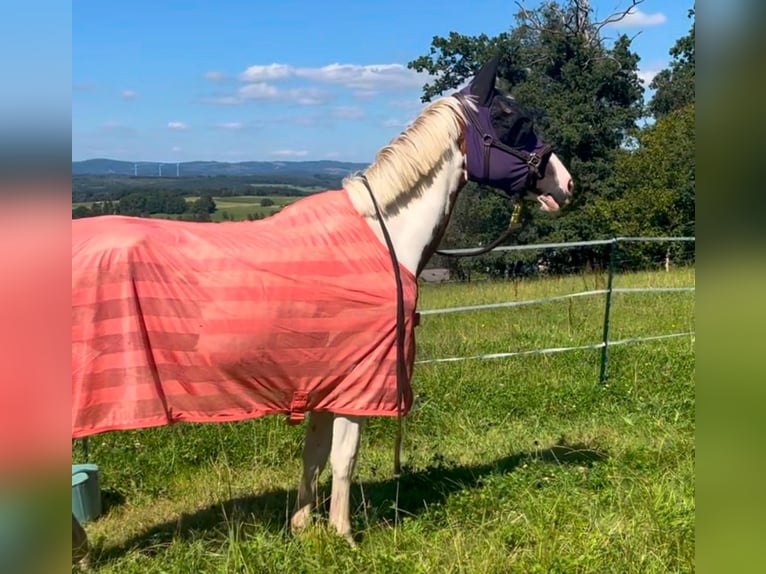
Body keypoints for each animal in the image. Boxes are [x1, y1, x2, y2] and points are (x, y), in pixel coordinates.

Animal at [72, 59, 572, 548]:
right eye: (512, 121)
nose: (566, 184)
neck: (383, 234)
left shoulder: (325, 381)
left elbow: (312, 455)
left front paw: (302, 524)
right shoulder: (359, 383)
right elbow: (344, 457)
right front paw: (344, 534)